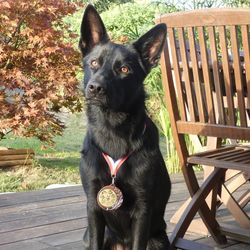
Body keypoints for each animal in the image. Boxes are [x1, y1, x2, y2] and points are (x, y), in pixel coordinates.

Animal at [79, 4, 171, 249]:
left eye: (125, 70)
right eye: (94, 63)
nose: (95, 88)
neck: (113, 132)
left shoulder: (142, 209)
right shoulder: (93, 206)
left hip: (157, 240)